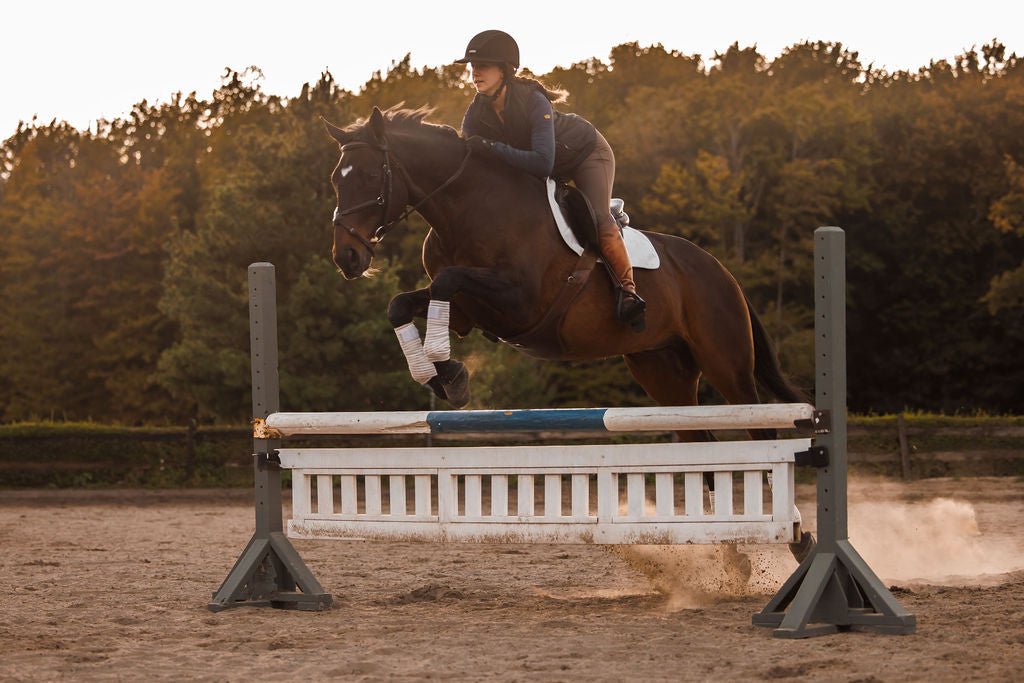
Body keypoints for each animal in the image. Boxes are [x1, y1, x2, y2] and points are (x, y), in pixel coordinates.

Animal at [323, 106, 806, 441]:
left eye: (371, 175)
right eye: (335, 179)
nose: (346, 257)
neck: (467, 209)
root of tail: (723, 274)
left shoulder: (520, 301)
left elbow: (446, 280)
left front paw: (451, 376)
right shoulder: (466, 313)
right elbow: (400, 303)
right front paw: (440, 376)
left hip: (728, 366)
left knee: (761, 432)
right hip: (662, 371)